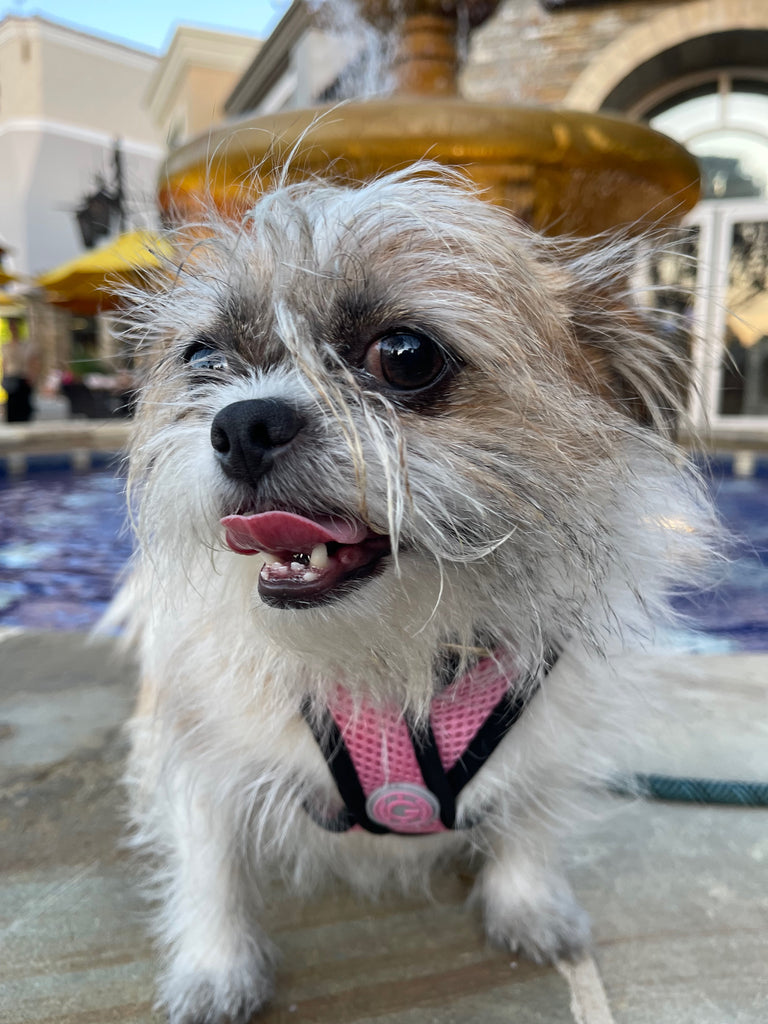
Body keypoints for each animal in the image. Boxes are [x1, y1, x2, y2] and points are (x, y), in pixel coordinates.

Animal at [117, 163, 720, 1019]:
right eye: (203, 359)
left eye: (405, 355)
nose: (241, 424)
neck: (388, 658)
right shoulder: (195, 747)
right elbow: (211, 864)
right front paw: (214, 967)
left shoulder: (552, 729)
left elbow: (533, 814)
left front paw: (528, 901)